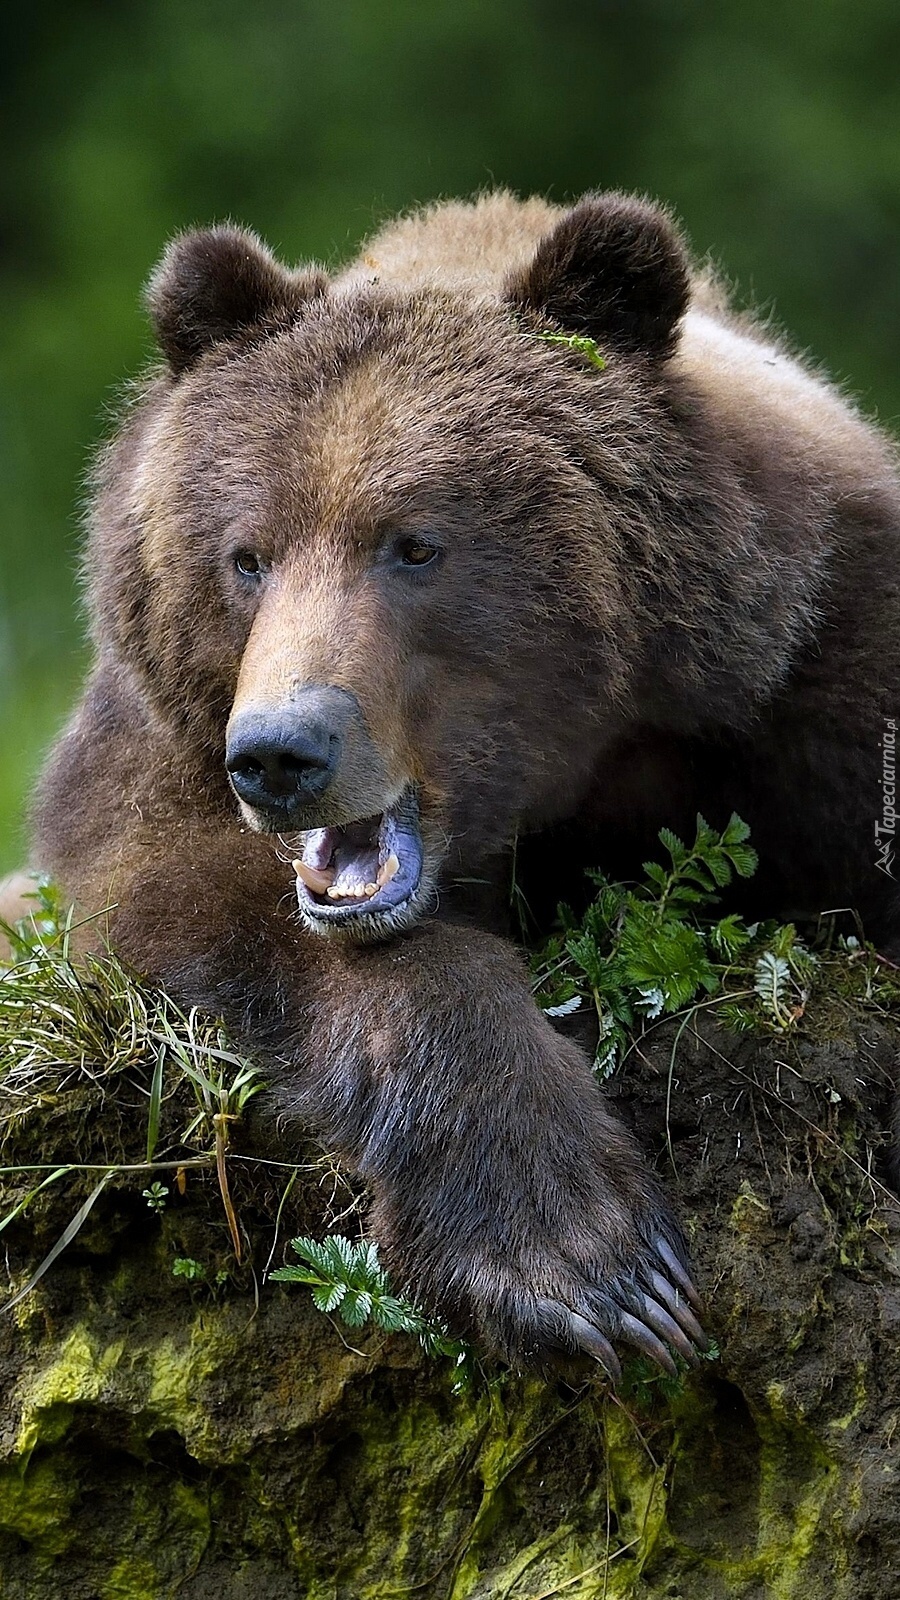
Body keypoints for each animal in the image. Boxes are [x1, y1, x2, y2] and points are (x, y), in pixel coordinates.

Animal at [14, 196, 896, 1376]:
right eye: (247, 556)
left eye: (415, 545)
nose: (282, 754)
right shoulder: (158, 739)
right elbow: (187, 894)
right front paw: (582, 1260)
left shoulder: (821, 668)